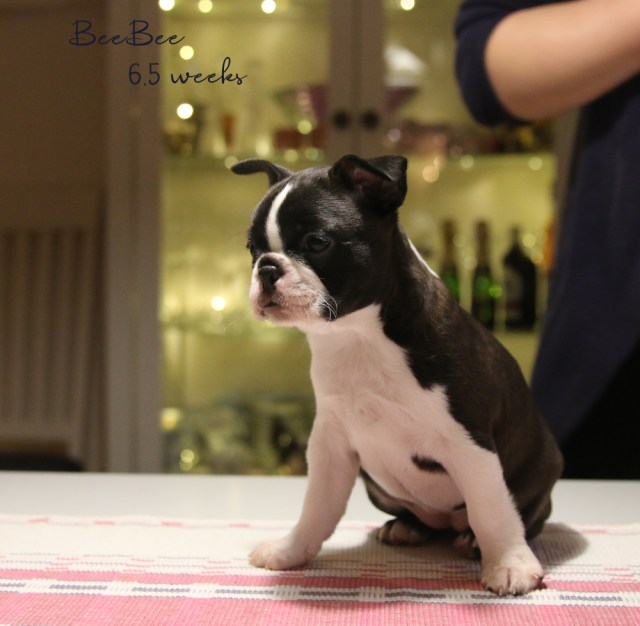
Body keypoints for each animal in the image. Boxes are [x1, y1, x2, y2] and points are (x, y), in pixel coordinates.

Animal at [232, 154, 563, 595]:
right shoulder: (331, 443)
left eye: (317, 243)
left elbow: (491, 508)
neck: (357, 336)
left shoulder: (470, 442)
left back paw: (475, 540)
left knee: (509, 515)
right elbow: (317, 505)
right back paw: (405, 527)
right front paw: (291, 551)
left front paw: (510, 565)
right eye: (252, 249)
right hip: (379, 486)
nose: (267, 268)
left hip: (539, 476)